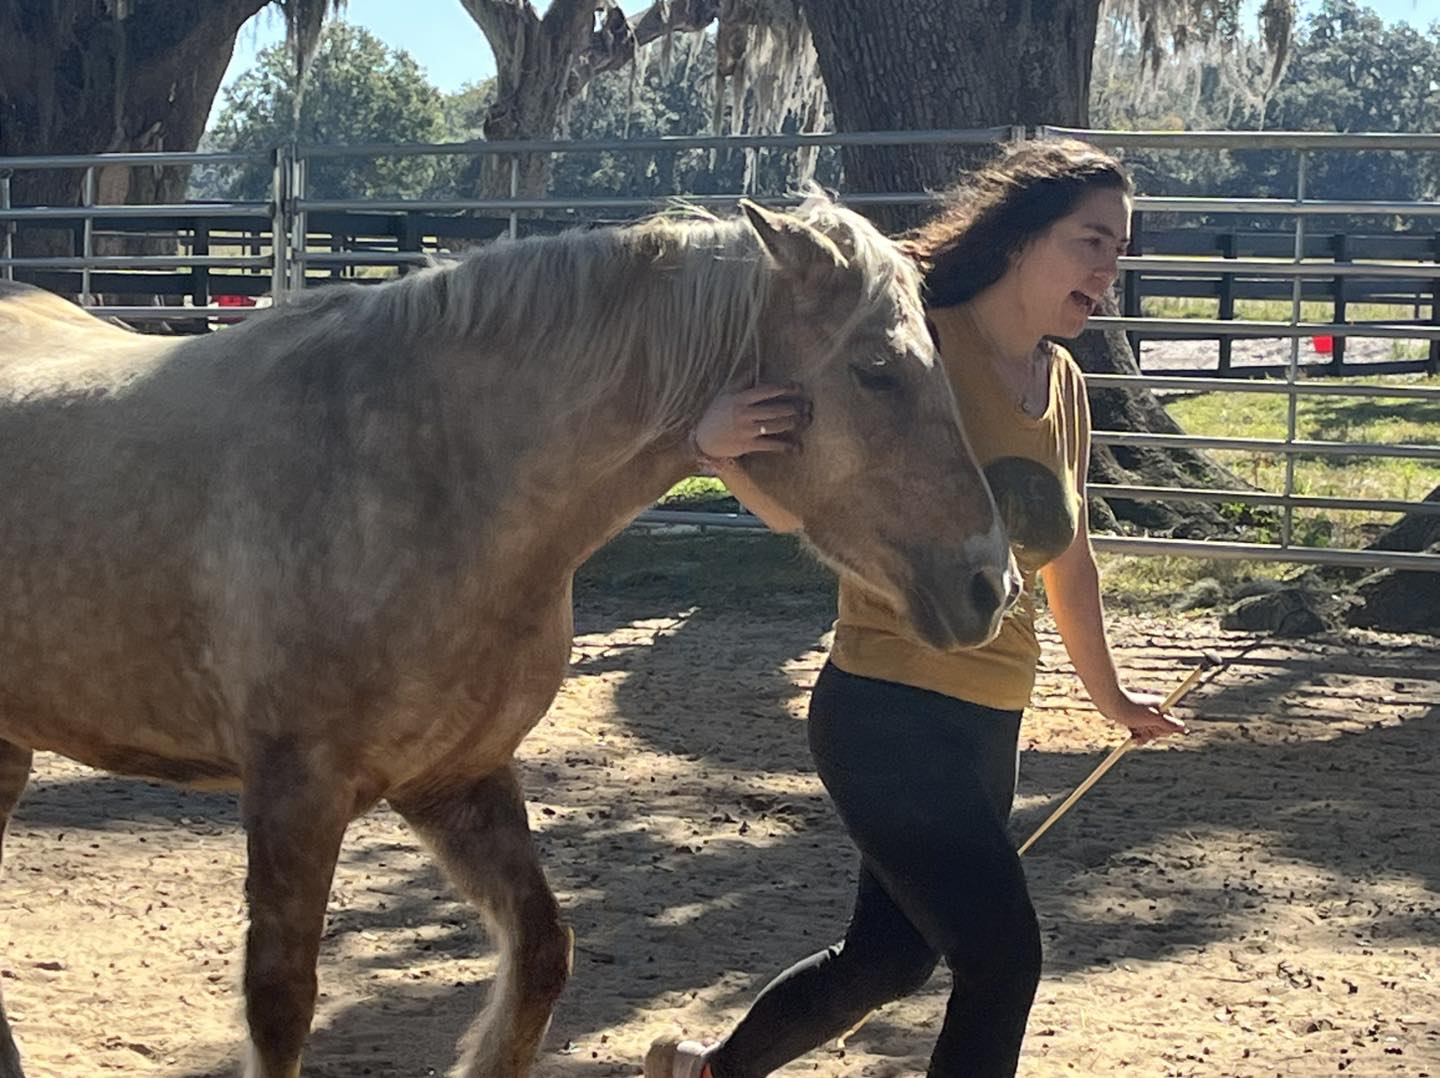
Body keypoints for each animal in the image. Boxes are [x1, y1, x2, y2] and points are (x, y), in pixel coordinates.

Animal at [0, 196, 1014, 1078]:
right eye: (877, 369)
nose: (989, 583)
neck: (433, 471)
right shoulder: (295, 790)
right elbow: (281, 1004)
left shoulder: (457, 779)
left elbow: (540, 954)